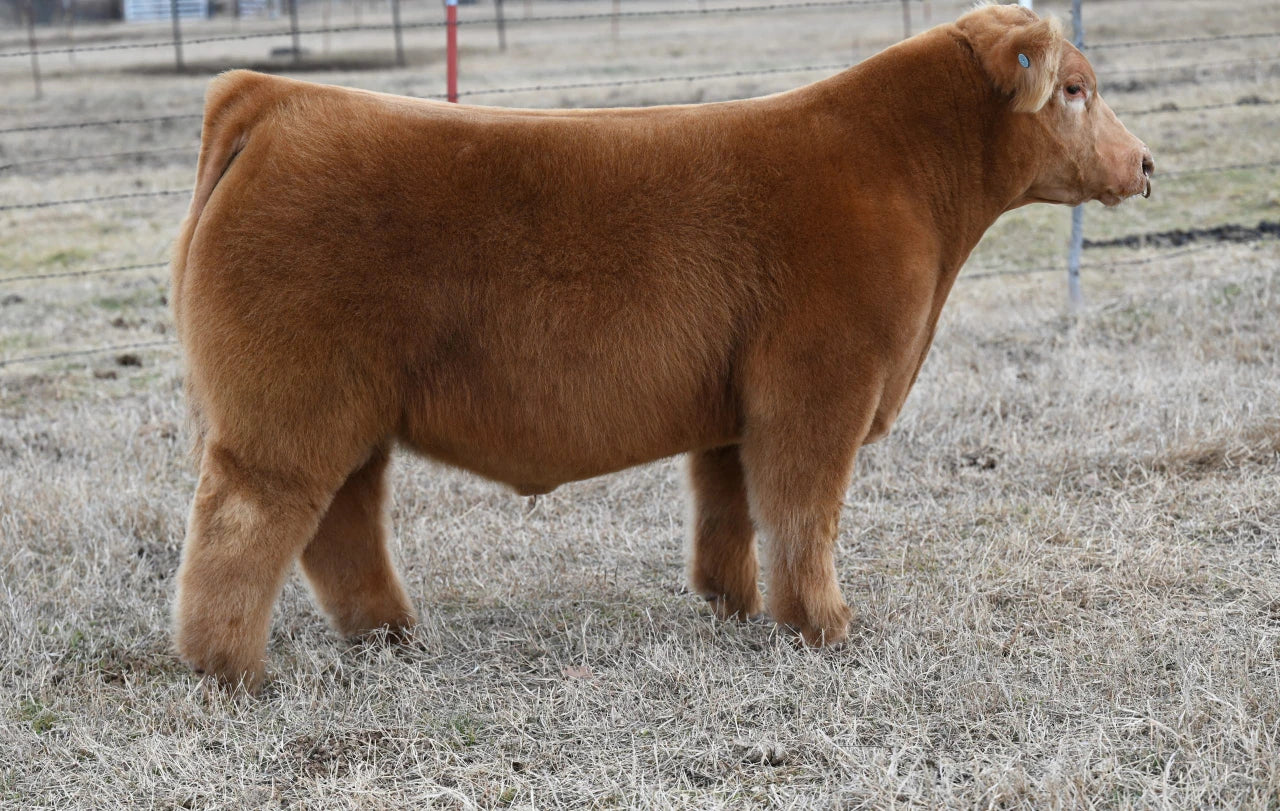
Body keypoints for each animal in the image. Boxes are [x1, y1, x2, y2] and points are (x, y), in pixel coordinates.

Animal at [169, 2, 1153, 687]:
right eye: (1075, 88)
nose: (1145, 164)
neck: (902, 175)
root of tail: (274, 98)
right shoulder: (822, 387)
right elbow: (805, 511)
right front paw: (826, 627)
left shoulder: (737, 405)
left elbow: (729, 506)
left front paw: (735, 607)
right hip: (290, 407)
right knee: (247, 518)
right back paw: (234, 672)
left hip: (348, 409)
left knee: (343, 520)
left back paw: (390, 635)